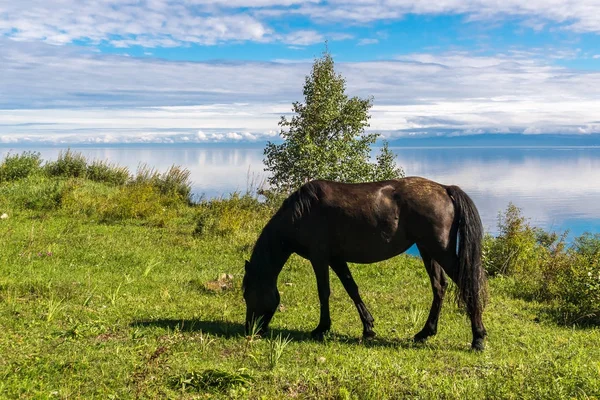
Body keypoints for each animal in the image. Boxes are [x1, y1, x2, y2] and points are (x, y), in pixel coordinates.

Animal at [243, 177, 488, 350]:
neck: (302, 212)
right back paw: (425, 333)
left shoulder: (319, 257)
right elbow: (352, 289)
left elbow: (324, 291)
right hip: (428, 250)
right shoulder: (336, 258)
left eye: (247, 294)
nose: (250, 330)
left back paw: (478, 338)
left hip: (439, 250)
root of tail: (445, 189)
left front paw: (322, 328)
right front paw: (368, 327)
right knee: (439, 287)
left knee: (467, 284)